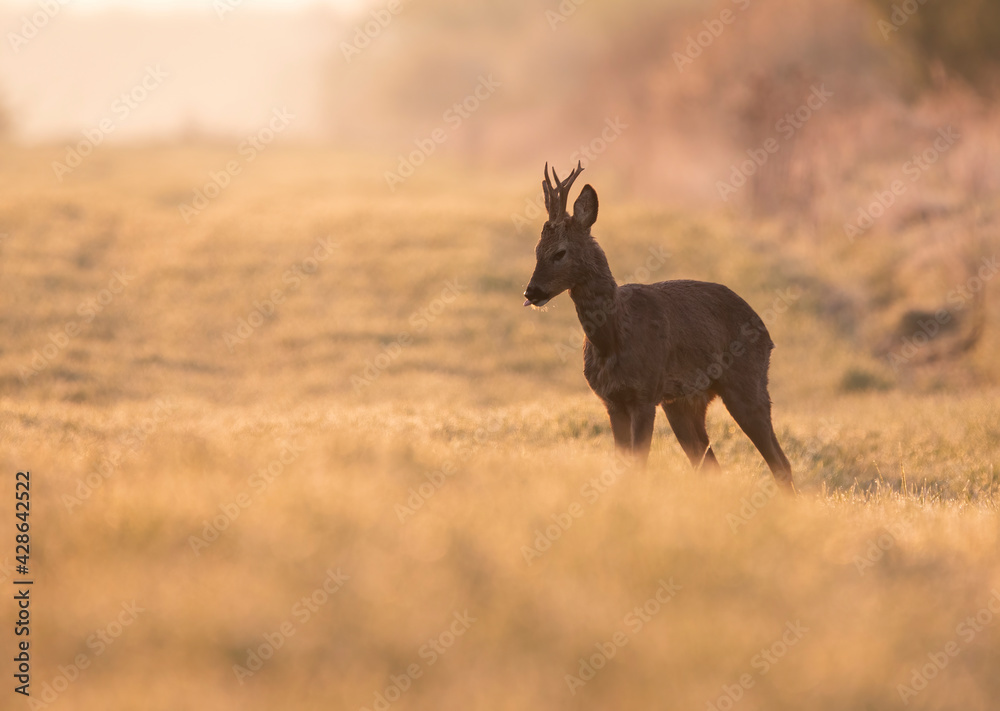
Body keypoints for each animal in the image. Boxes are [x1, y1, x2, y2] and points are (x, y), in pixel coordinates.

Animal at [523, 162, 795, 492]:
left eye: (560, 252)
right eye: (536, 249)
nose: (531, 291)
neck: (614, 337)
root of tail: (766, 332)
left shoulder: (644, 393)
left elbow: (639, 464)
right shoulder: (612, 400)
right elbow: (622, 462)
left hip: (747, 382)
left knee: (781, 463)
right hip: (684, 402)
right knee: (710, 464)